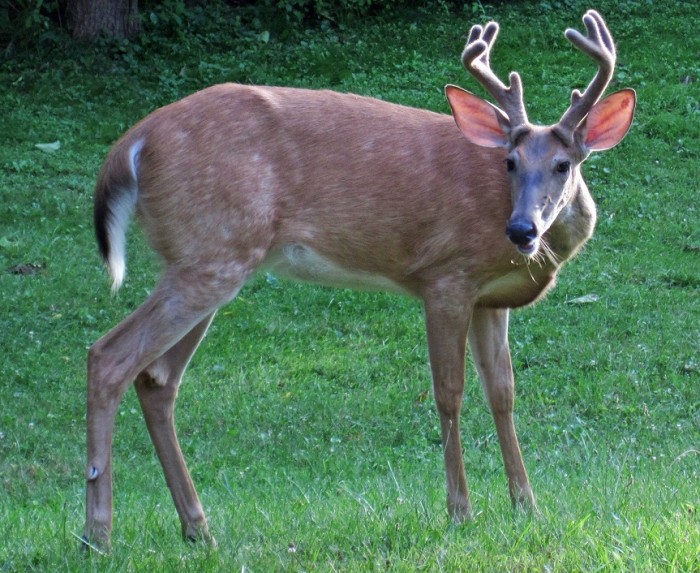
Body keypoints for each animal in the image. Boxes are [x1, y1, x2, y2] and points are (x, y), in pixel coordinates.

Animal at [80, 7, 636, 544]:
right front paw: (460, 512)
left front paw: (527, 506)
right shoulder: (446, 276)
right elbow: (449, 391)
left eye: (563, 164)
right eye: (510, 162)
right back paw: (98, 532)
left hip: (208, 259)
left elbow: (503, 392)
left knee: (157, 379)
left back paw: (197, 527)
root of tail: (132, 142)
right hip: (210, 252)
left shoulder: (489, 299)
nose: (522, 228)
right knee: (109, 356)